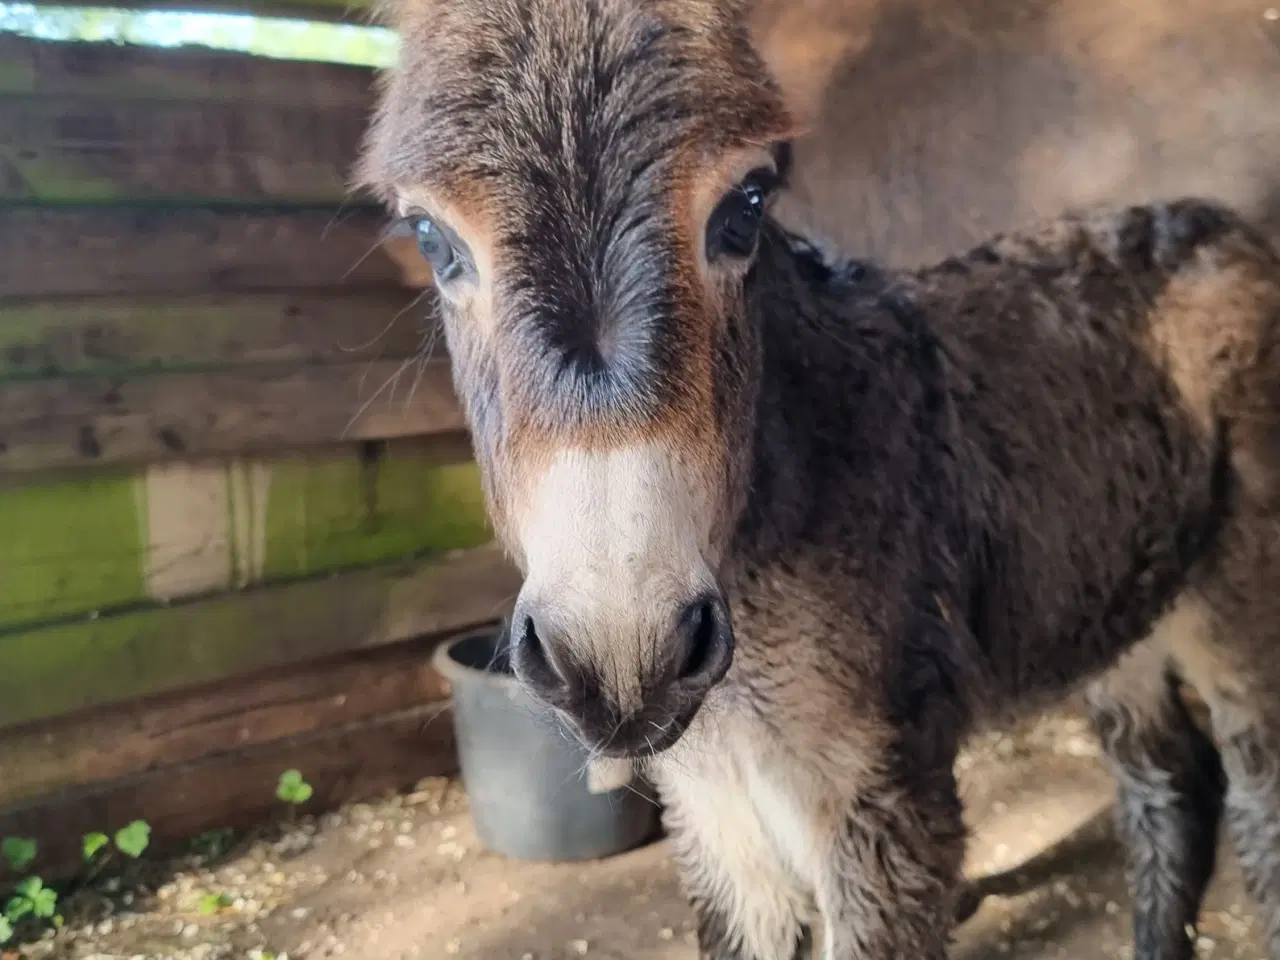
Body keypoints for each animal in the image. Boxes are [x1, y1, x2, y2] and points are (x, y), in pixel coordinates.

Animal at [360, 3, 1280, 957]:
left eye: (746, 207)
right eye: (430, 238)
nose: (623, 657)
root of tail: (1215, 222)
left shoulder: (879, 802)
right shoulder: (716, 811)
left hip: (1240, 595)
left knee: (1258, 788)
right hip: (1115, 608)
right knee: (1167, 780)